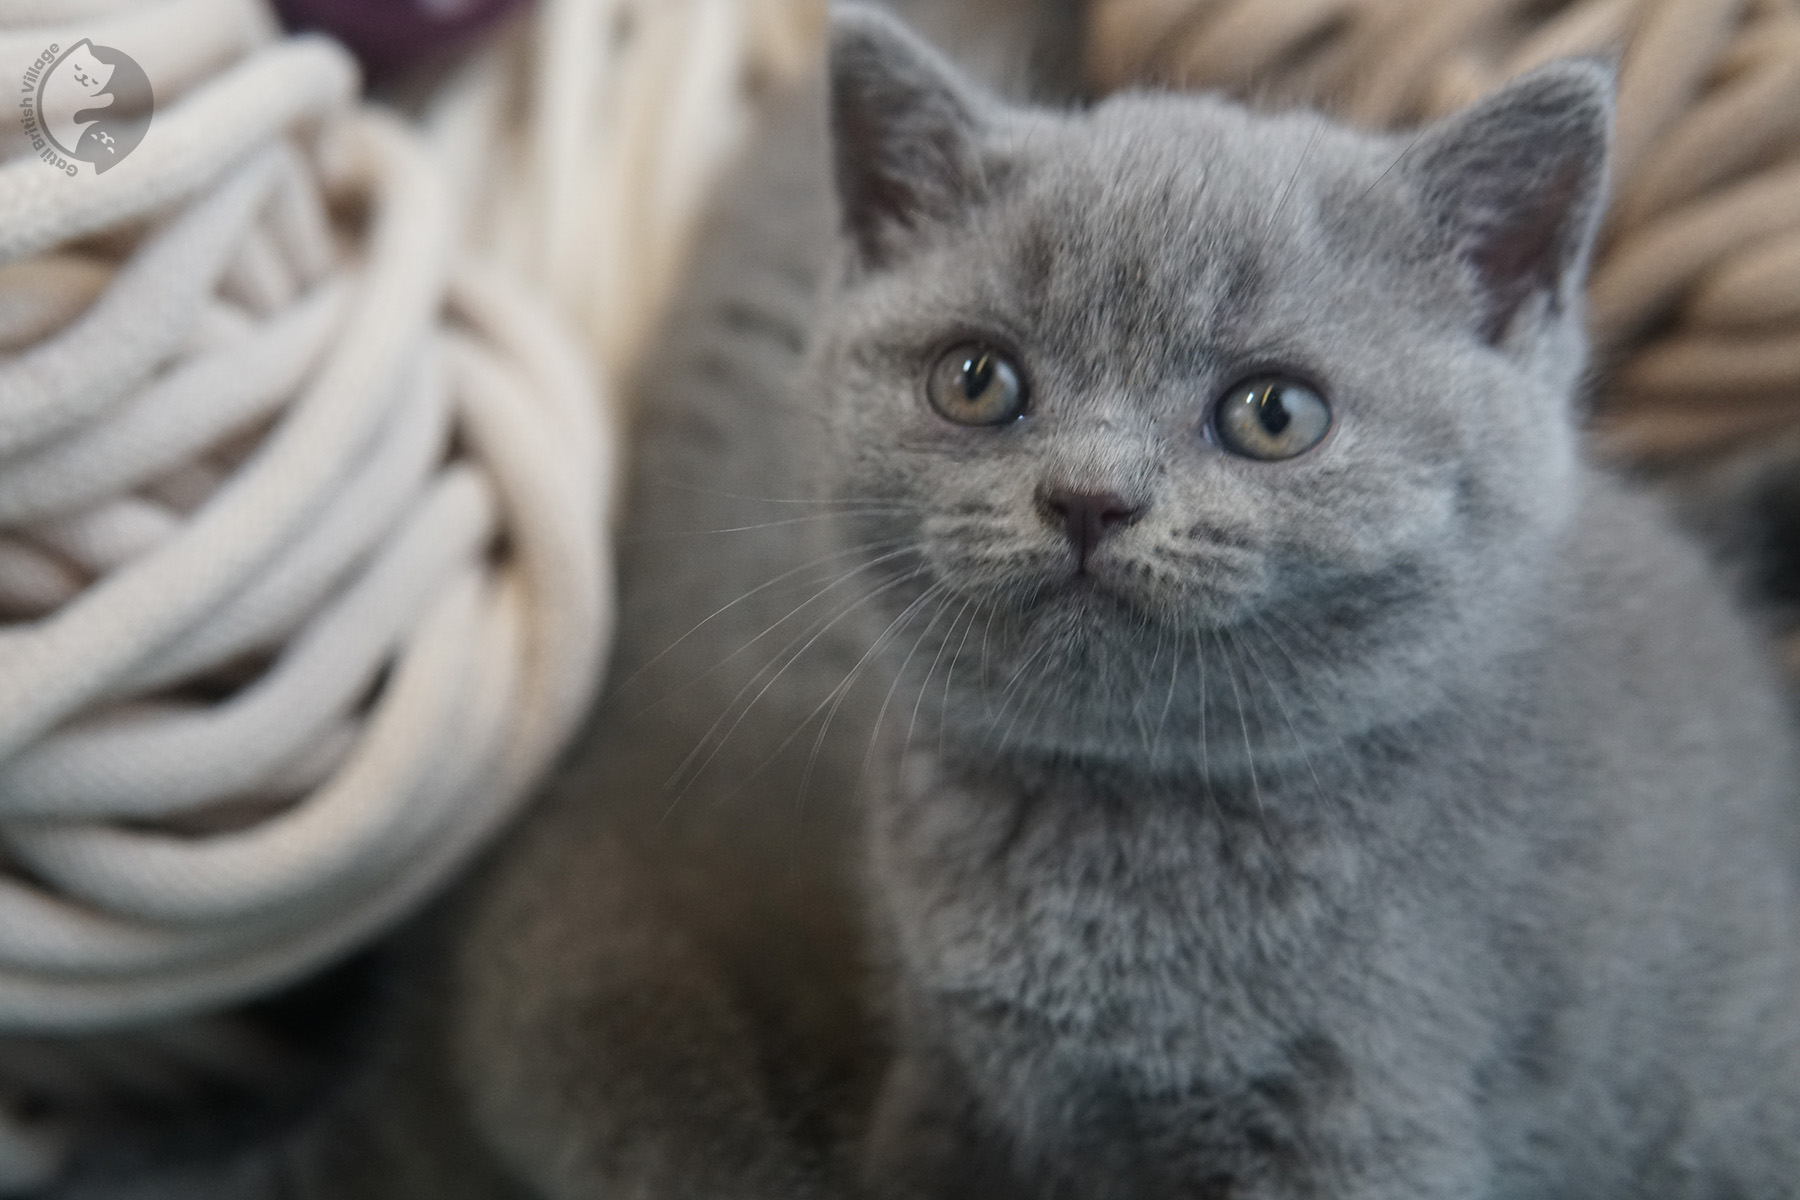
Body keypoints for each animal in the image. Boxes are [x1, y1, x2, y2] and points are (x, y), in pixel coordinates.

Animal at [442, 2, 1800, 1200]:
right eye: (976, 380)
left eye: (1274, 413)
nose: (1089, 498)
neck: (1111, 832)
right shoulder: (951, 1087)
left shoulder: (1363, 1121)